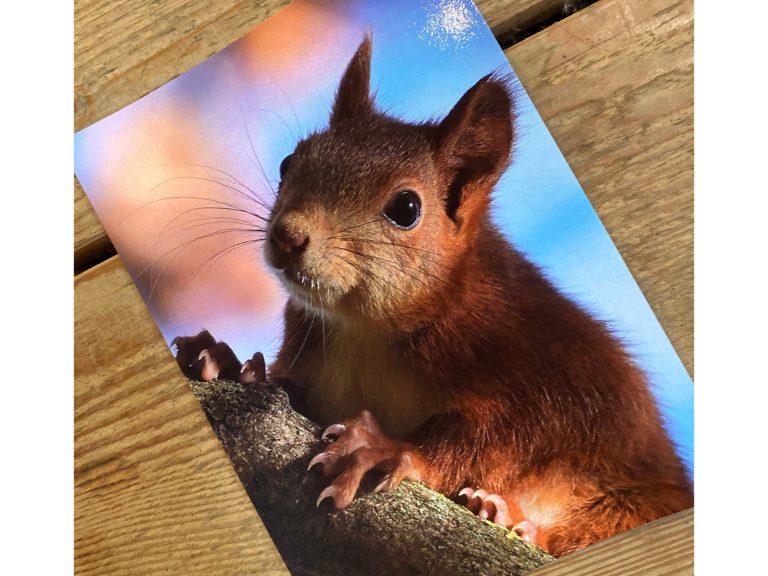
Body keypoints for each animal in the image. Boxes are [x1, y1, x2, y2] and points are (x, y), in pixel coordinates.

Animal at [178, 37, 688, 560]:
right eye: (289, 162)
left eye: (406, 208)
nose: (287, 236)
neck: (367, 329)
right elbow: (287, 383)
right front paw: (231, 362)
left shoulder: (538, 370)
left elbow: (497, 439)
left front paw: (387, 452)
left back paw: (512, 517)